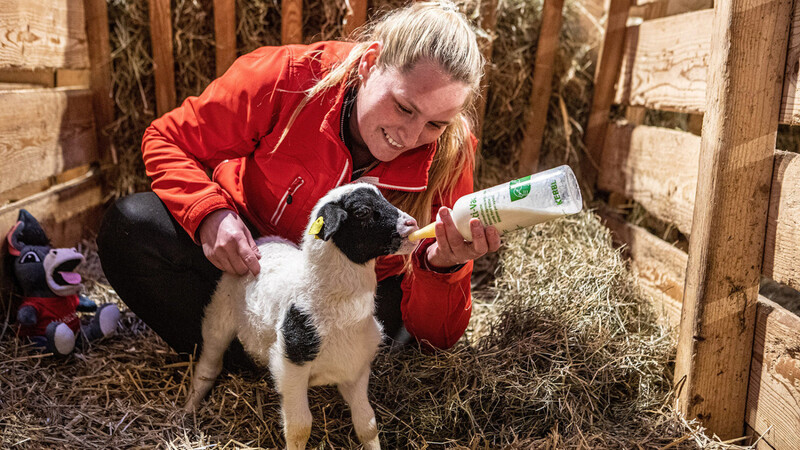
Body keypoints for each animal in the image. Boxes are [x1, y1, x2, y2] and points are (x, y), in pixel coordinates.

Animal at [186, 183, 418, 450]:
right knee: (209, 363)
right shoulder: (290, 367)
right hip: (221, 311)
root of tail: (265, 242)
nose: (412, 224)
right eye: (362, 212)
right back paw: (188, 409)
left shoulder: (356, 368)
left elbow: (367, 424)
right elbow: (299, 427)